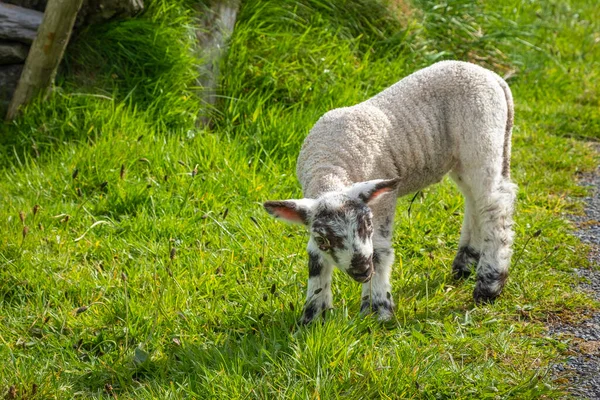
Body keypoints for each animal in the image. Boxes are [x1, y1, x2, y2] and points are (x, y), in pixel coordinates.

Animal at [262, 61, 516, 324]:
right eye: (324, 240)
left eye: (367, 226)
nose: (362, 270)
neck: (329, 165)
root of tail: (493, 77)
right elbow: (315, 261)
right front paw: (313, 316)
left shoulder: (381, 201)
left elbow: (379, 251)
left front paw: (377, 311)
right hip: (465, 156)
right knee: (474, 201)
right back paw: (465, 264)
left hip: (481, 137)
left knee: (495, 205)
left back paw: (489, 285)